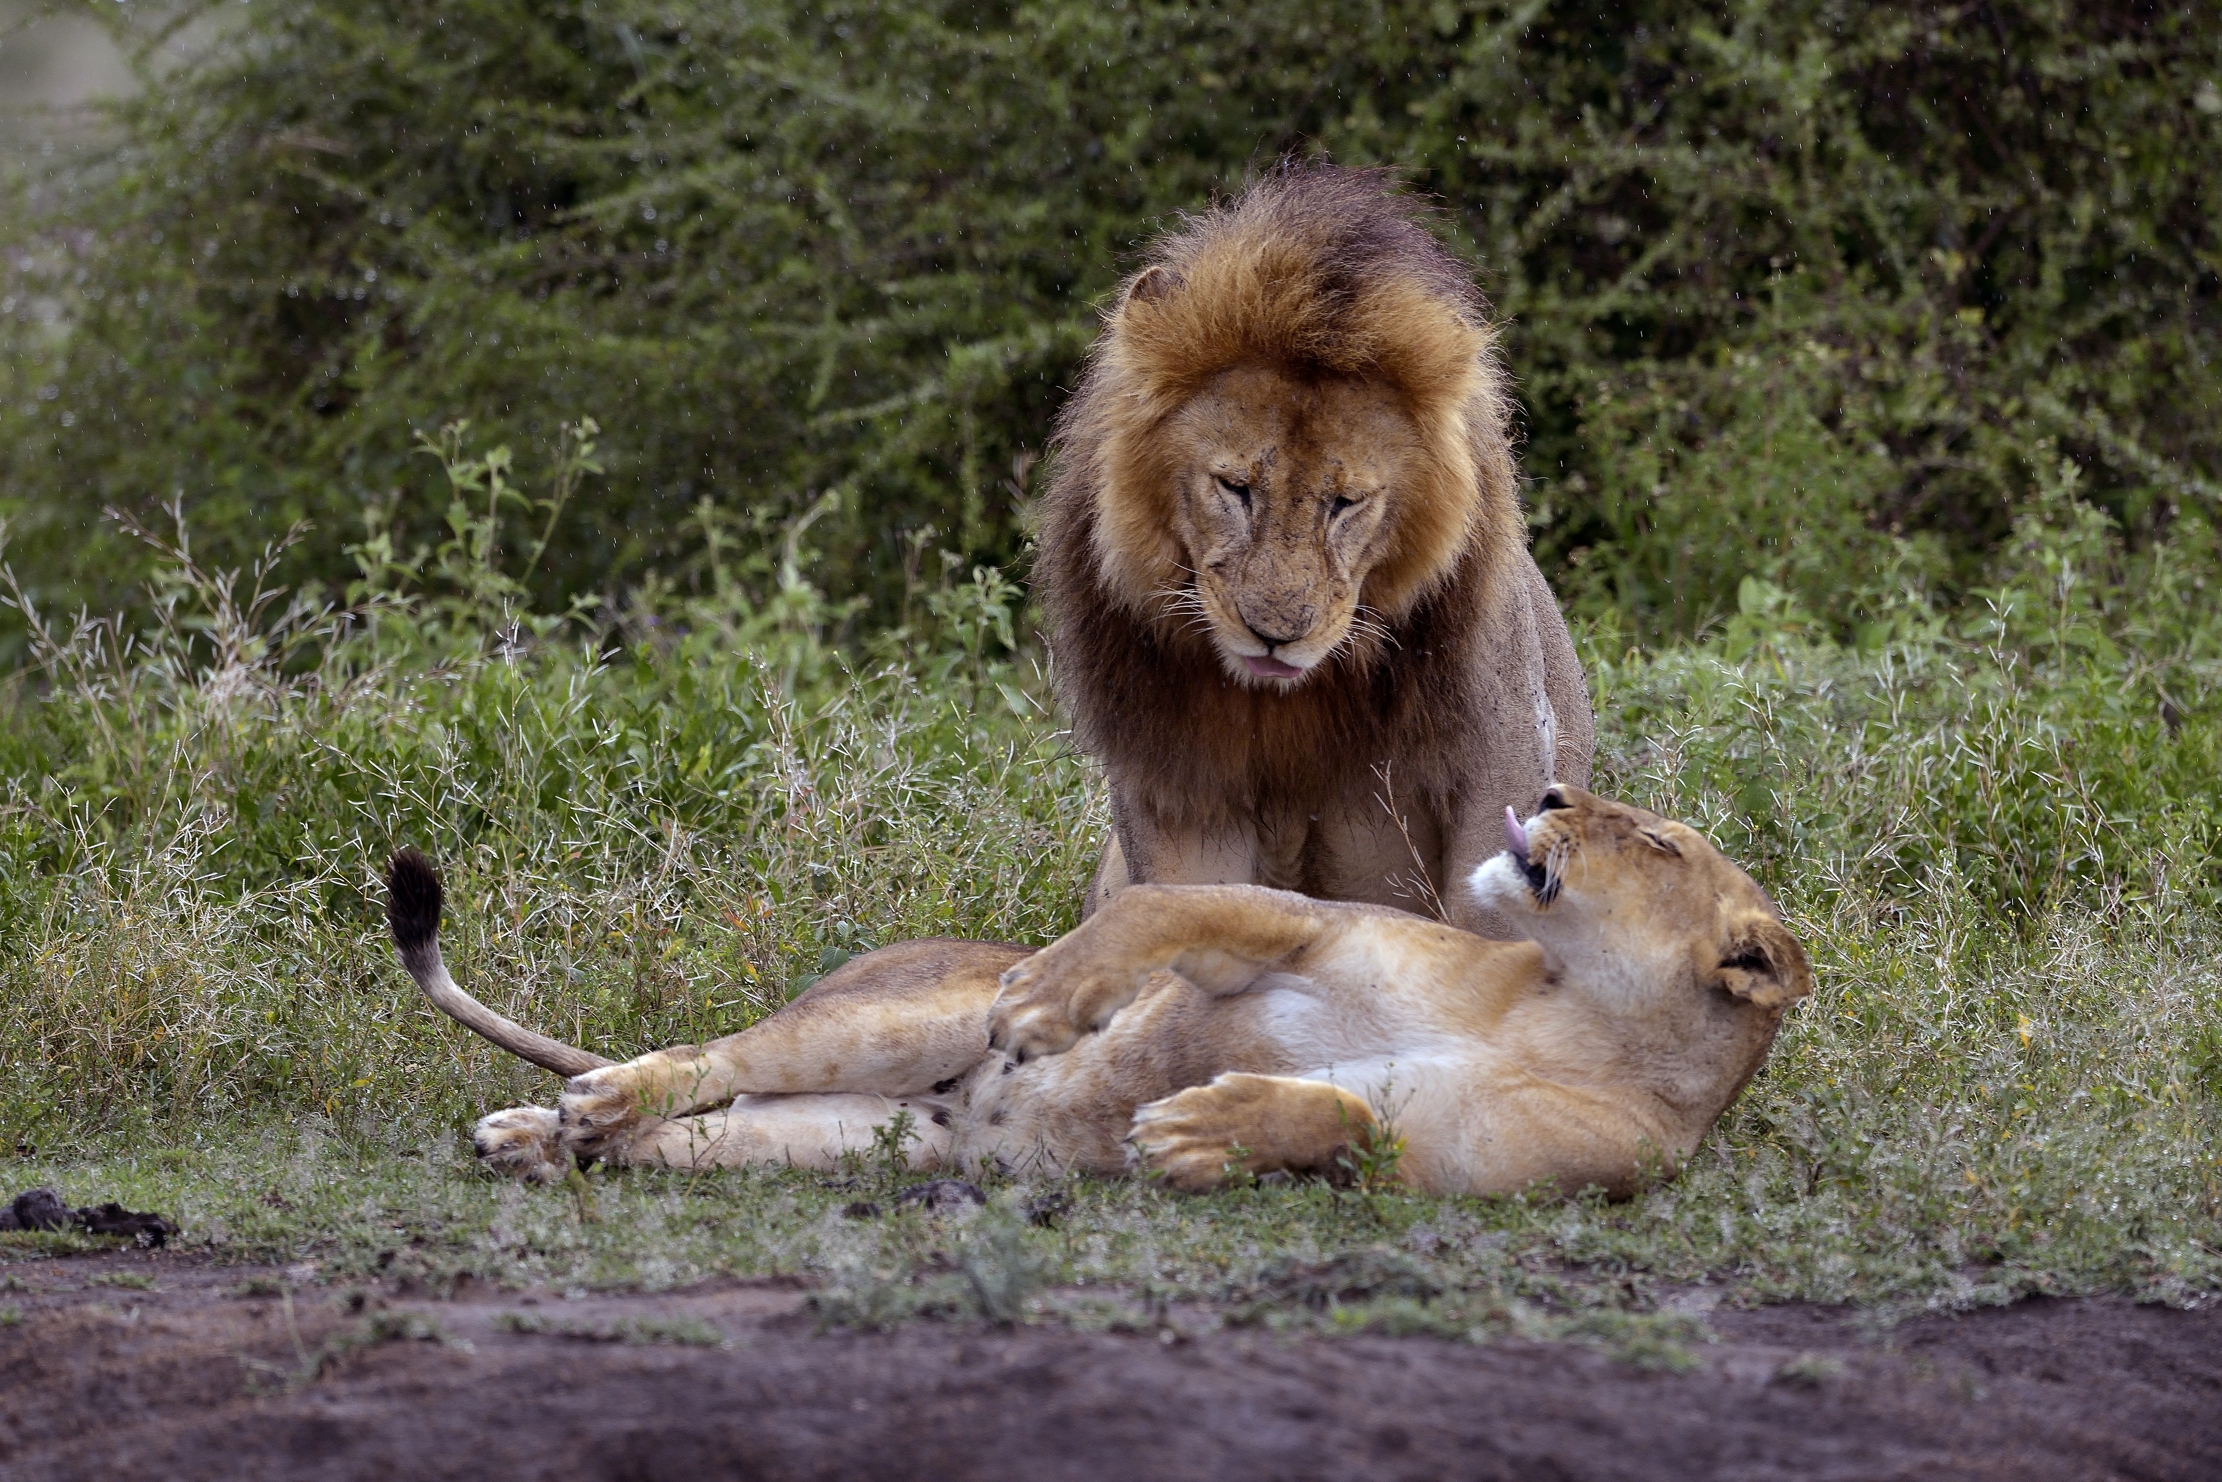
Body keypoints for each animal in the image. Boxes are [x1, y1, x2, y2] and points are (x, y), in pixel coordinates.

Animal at [390, 785, 1811, 1198]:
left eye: (1657, 841)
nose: (1555, 790)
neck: (1558, 1008)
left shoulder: (1476, 1169)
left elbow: (1353, 1120)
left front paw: (1200, 1132)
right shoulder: (1301, 929)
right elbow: (1164, 906)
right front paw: (1051, 1002)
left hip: (854, 1142)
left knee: (689, 1138)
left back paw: (549, 1136)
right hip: (891, 1017)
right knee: (711, 1059)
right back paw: (578, 1105)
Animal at [1034, 162, 1594, 938]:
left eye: (1346, 502)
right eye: (1235, 486)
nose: (1275, 635)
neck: (1292, 705)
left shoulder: (1505, 754)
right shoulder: (1178, 794)